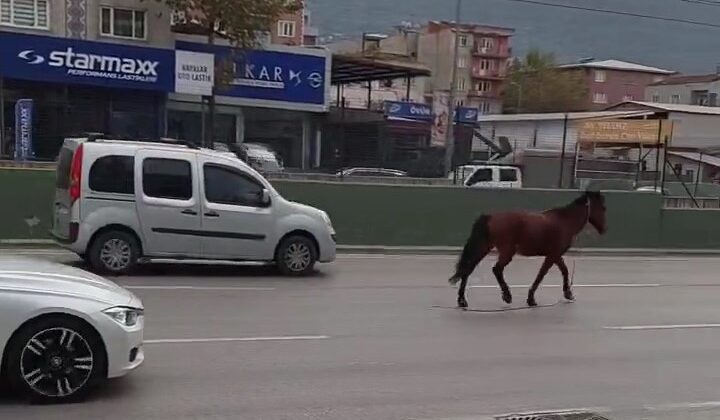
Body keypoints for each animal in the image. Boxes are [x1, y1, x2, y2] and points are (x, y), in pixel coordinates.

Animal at [450, 190, 608, 308]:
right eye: (602, 208)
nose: (604, 229)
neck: (565, 221)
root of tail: (490, 217)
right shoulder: (553, 255)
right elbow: (542, 275)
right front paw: (531, 299)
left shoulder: (555, 255)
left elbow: (563, 270)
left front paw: (568, 293)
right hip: (506, 252)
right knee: (496, 269)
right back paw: (507, 296)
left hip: (484, 248)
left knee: (468, 269)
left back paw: (462, 300)